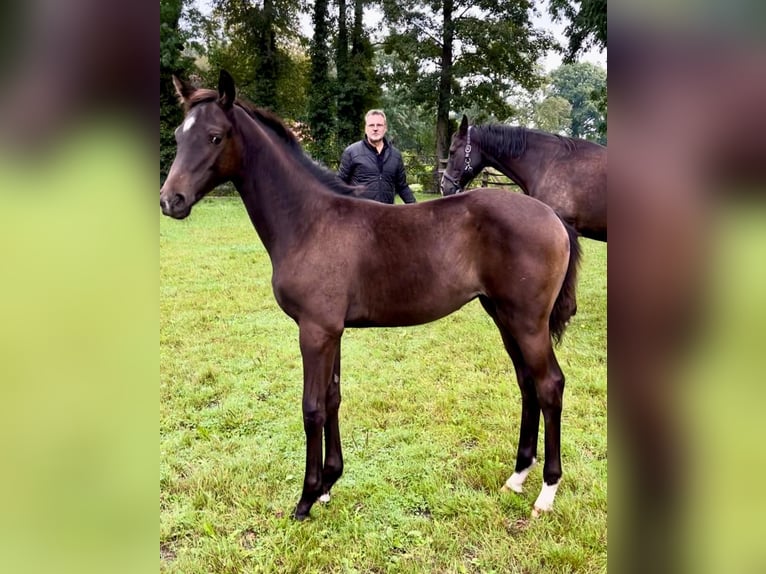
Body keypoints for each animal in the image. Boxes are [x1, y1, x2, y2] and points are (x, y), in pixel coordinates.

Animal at [162, 71, 584, 520]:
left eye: (215, 137)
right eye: (178, 135)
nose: (171, 200)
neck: (309, 221)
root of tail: (552, 216)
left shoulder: (315, 331)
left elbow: (312, 408)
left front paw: (305, 499)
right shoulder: (332, 331)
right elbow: (332, 398)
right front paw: (328, 484)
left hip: (528, 322)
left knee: (550, 384)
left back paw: (546, 492)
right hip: (503, 315)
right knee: (527, 383)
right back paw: (517, 476)